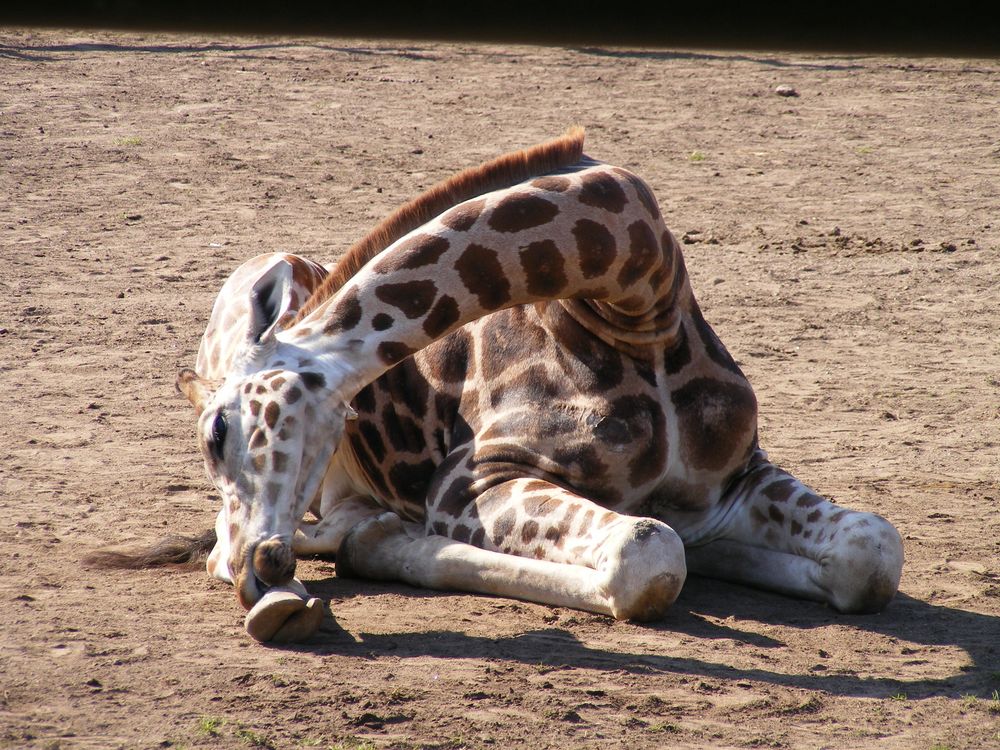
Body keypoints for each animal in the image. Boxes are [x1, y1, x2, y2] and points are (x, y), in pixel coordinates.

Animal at [141, 128, 908, 640]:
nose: (252, 566)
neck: (640, 302)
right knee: (319, 536)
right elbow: (646, 554)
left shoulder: (736, 479)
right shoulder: (471, 482)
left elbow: (872, 551)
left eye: (217, 434)